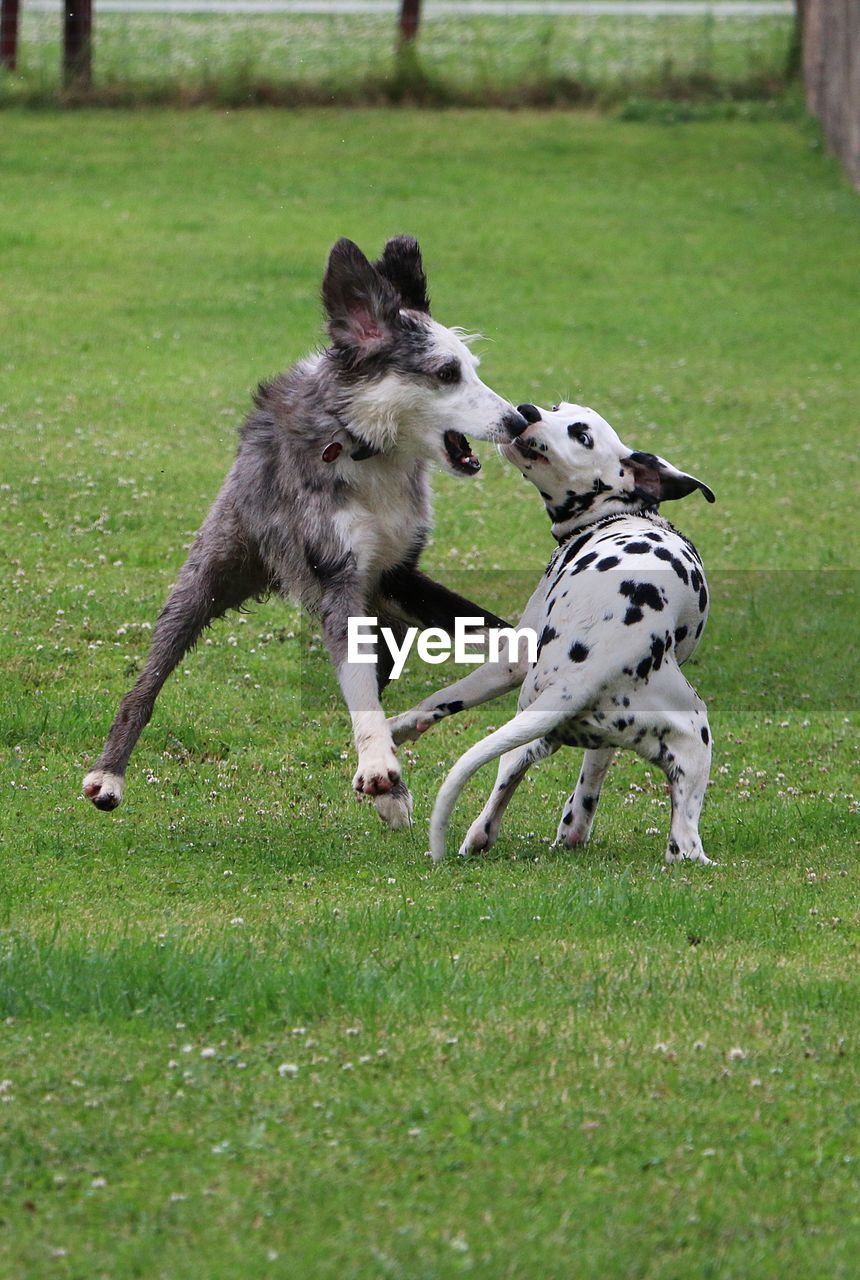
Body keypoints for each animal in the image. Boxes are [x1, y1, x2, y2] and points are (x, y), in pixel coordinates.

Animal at [82, 234, 524, 824]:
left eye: (470, 368)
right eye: (446, 373)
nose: (519, 421)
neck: (365, 448)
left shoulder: (398, 578)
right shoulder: (337, 573)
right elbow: (359, 686)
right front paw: (378, 764)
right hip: (209, 576)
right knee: (145, 686)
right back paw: (108, 773)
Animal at [386, 394, 716, 865]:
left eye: (582, 435)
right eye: (559, 407)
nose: (528, 410)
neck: (621, 516)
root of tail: (589, 672)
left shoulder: (512, 660)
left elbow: (438, 700)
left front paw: (395, 729)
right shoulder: (603, 744)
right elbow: (592, 776)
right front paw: (575, 823)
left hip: (530, 720)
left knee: (502, 782)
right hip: (691, 746)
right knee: (683, 843)